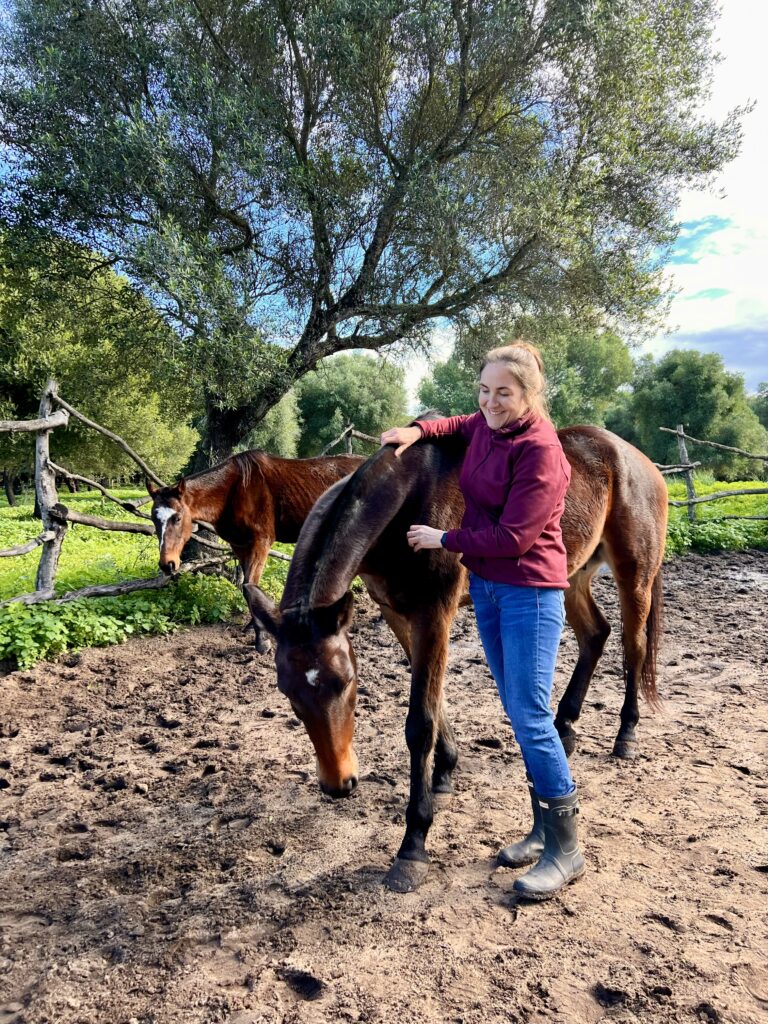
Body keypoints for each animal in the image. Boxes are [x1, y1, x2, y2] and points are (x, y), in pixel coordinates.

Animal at [150, 448, 366, 647]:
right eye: (153, 518)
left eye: (177, 518)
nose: (167, 564)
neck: (235, 490)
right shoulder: (239, 545)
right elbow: (246, 587)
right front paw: (254, 627)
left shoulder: (261, 542)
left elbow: (249, 585)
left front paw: (262, 638)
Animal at [244, 423, 667, 888]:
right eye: (288, 692)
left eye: (346, 682)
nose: (339, 783)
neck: (406, 500)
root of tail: (638, 460)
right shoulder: (397, 612)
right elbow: (434, 698)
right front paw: (445, 771)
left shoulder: (435, 612)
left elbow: (420, 723)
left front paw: (413, 845)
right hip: (572, 575)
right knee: (595, 635)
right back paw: (565, 728)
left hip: (634, 574)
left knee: (633, 646)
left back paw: (626, 734)